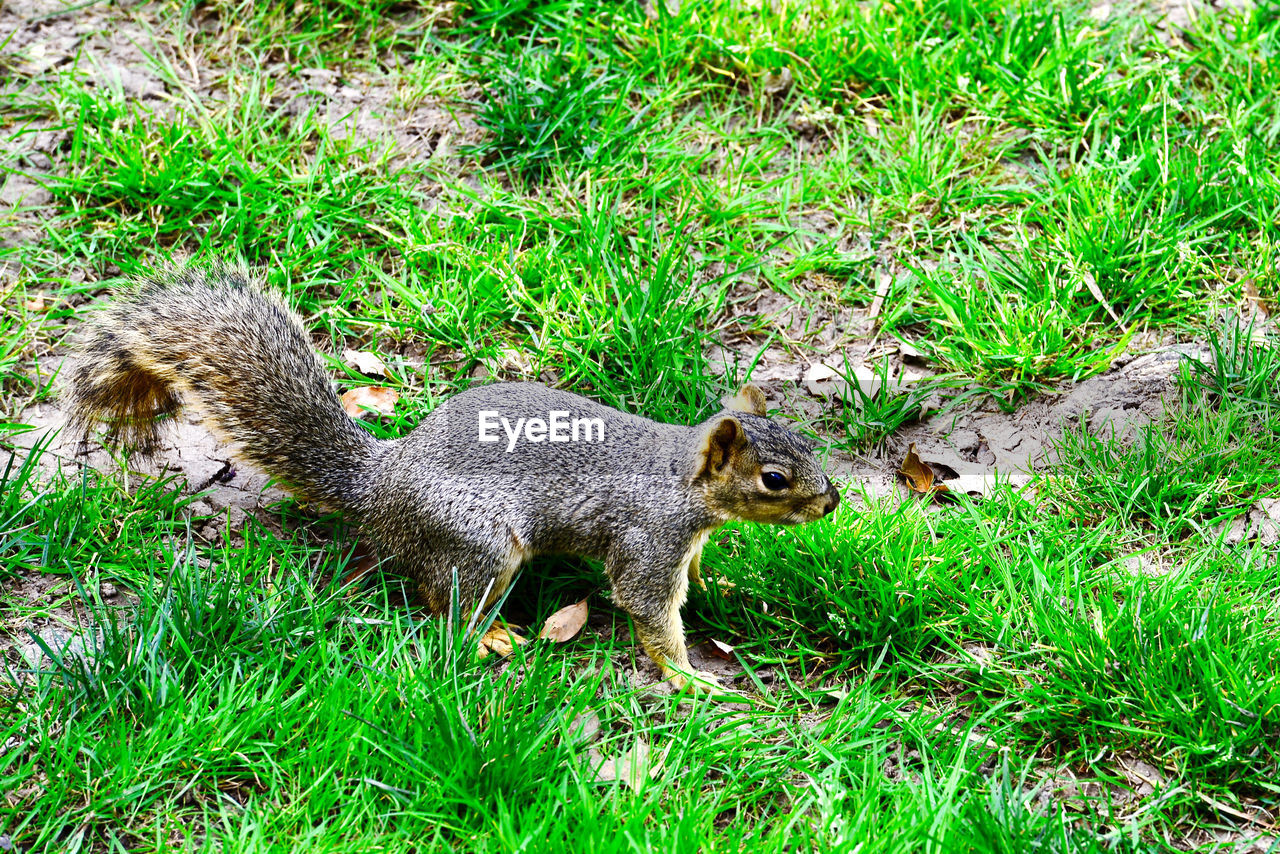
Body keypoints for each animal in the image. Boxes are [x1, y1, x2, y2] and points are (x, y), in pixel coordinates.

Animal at [62, 263, 839, 691]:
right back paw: (491, 638)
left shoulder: (686, 539)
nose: (831, 502)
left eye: (806, 444)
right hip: (478, 543)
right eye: (774, 479)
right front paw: (690, 678)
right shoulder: (649, 537)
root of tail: (379, 483)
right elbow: (649, 610)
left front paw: (721, 585)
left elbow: (696, 574)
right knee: (444, 602)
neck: (683, 480)